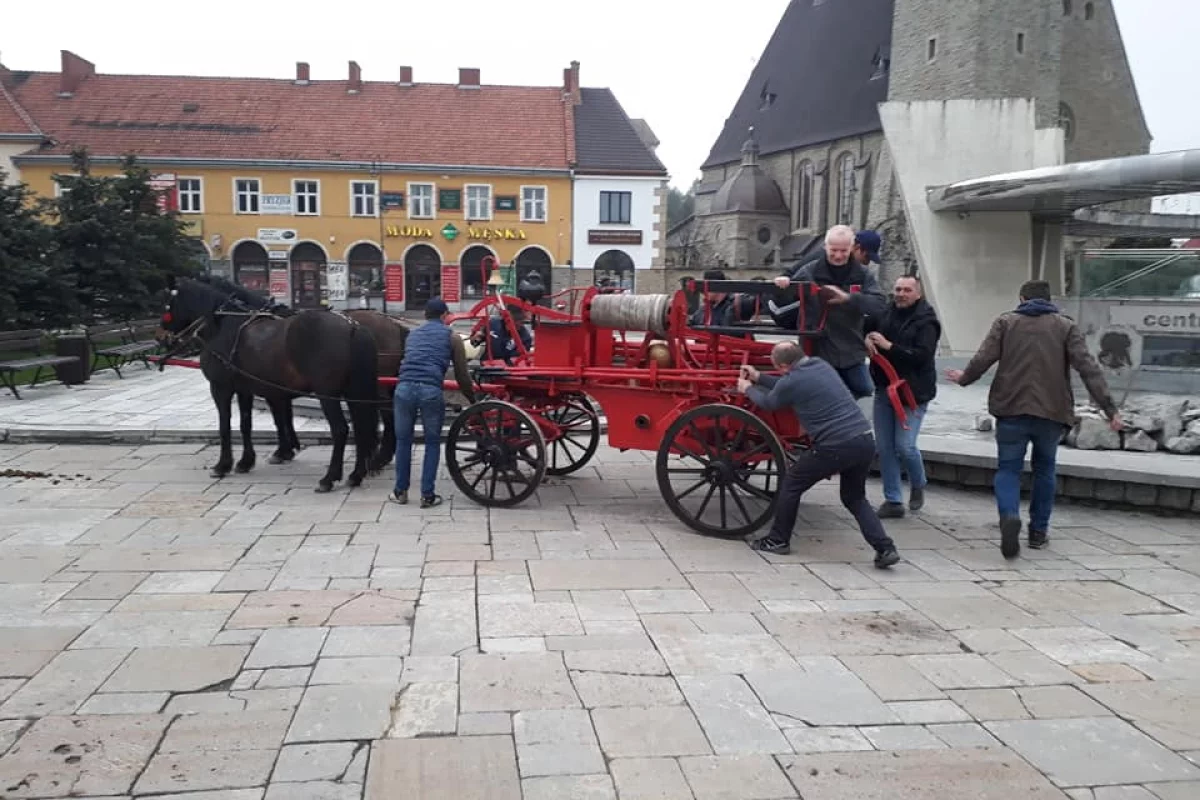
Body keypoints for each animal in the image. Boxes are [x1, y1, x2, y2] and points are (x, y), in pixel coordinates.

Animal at [162, 281, 379, 494]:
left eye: (166, 305)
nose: (161, 335)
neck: (221, 325)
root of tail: (352, 326)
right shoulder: (246, 390)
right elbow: (246, 424)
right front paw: (246, 461)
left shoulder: (220, 388)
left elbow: (225, 426)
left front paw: (223, 465)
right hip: (352, 392)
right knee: (360, 427)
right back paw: (355, 475)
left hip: (327, 395)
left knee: (340, 429)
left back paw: (329, 478)